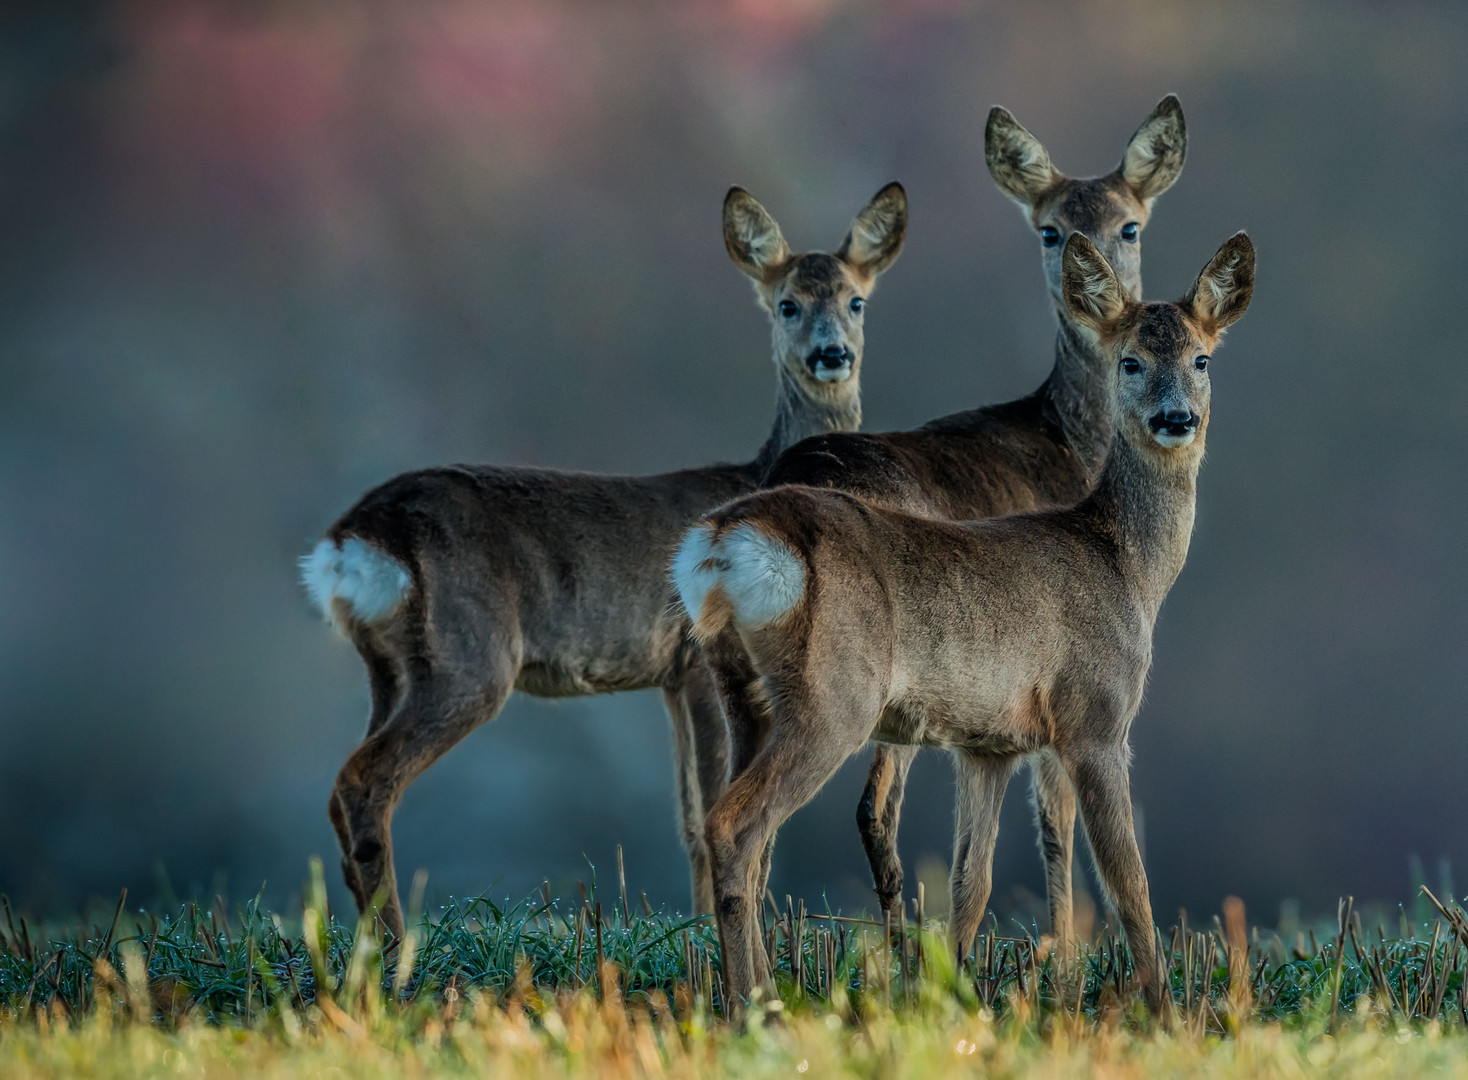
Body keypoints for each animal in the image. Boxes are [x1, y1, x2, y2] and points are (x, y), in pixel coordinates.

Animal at [300, 181, 904, 933]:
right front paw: (706, 930)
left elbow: (688, 815)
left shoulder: (670, 678)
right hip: (469, 658)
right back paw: (392, 942)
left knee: (342, 782)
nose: (831, 354)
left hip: (388, 668)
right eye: (787, 302)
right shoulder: (695, 662)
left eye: (856, 300)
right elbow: (707, 808)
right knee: (363, 780)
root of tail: (350, 539)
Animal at [681, 231, 1256, 1009]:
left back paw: (758, 992)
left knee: (746, 836)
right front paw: (1166, 1011)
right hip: (834, 696)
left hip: (743, 692)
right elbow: (1130, 883)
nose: (1176, 419)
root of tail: (724, 538)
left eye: (1201, 359)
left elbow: (969, 886)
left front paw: (949, 997)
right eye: (1130, 360)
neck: (1127, 566)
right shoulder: (1096, 718)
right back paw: (755, 1005)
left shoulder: (987, 745)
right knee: (737, 825)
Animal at [701, 96, 1192, 939]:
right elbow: (1055, 818)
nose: (1089, 293)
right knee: (869, 807)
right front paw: (1063, 955)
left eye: (1130, 226)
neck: (1070, 442)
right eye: (1050, 229)